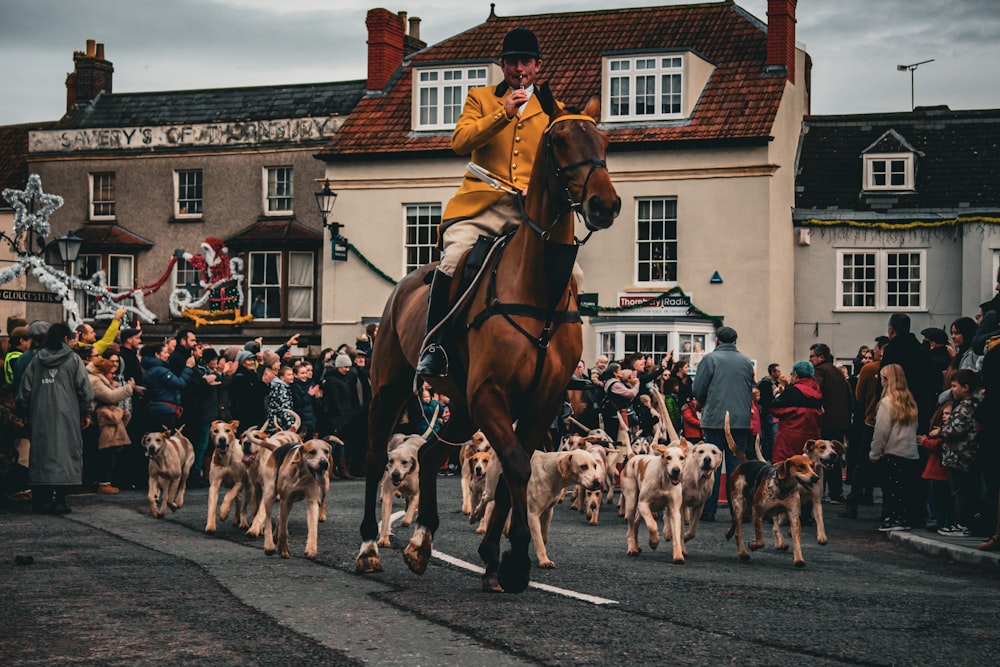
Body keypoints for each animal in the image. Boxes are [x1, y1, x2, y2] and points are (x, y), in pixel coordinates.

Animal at [352, 95, 616, 596]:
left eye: (604, 141)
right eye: (558, 140)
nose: (604, 205)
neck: (539, 290)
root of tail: (404, 285)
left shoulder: (539, 402)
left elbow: (514, 470)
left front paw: (495, 558)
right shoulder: (491, 393)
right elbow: (513, 466)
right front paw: (514, 561)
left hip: (460, 403)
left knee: (430, 456)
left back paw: (421, 541)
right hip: (389, 390)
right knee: (375, 459)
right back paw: (369, 547)